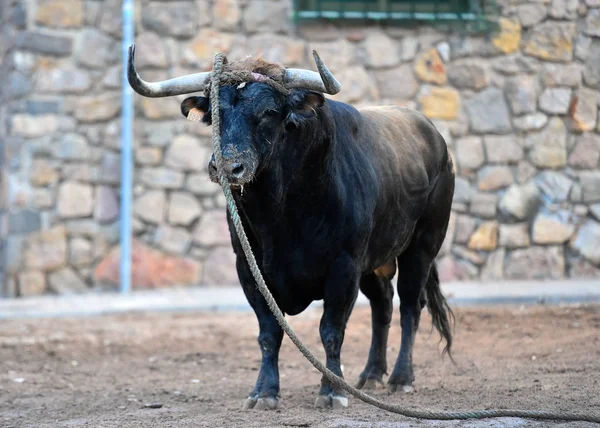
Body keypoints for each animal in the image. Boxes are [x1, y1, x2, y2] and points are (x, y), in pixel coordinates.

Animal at [130, 52, 454, 408]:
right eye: (216, 114)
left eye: (269, 112)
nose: (228, 167)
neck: (281, 218)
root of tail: (434, 137)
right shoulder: (249, 269)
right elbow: (270, 333)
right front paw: (264, 392)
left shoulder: (344, 267)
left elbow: (331, 330)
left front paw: (332, 391)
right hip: (376, 260)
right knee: (382, 304)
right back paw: (371, 374)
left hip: (421, 247)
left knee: (410, 305)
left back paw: (400, 377)